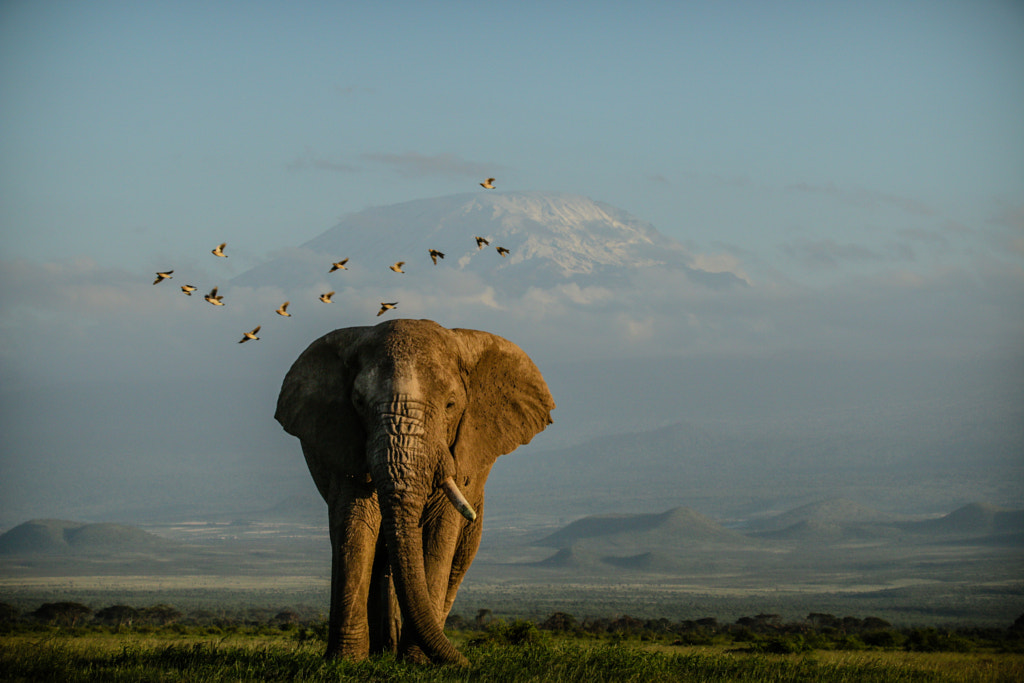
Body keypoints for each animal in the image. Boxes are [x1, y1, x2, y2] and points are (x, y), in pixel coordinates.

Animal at [276, 317, 557, 663]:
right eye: (358, 403)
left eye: (451, 405)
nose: (466, 662)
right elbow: (355, 523)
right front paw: (344, 662)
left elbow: (439, 530)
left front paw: (418, 662)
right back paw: (381, 652)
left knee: (455, 560)